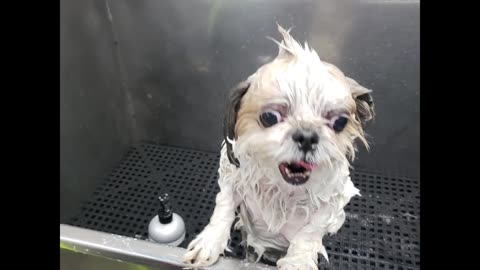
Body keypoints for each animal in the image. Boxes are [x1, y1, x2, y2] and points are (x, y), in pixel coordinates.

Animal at [182, 24, 374, 268]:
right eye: (269, 117)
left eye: (340, 122)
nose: (307, 137)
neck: (282, 190)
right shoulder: (231, 176)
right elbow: (224, 205)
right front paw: (209, 242)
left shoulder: (333, 200)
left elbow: (310, 232)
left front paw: (298, 261)